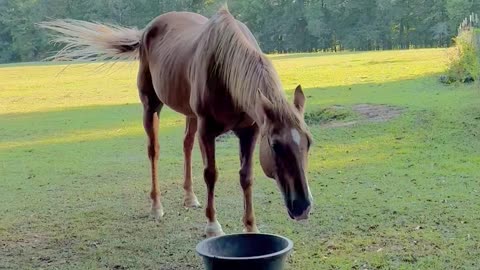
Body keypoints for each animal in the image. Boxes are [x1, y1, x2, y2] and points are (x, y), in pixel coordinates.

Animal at [39, 6, 314, 237]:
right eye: (275, 145)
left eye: (309, 143)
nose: (302, 207)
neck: (225, 69)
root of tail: (145, 31)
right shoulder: (207, 129)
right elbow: (211, 174)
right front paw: (213, 226)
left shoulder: (250, 130)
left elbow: (246, 176)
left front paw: (251, 228)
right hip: (151, 105)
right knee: (154, 151)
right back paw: (156, 206)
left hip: (189, 114)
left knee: (186, 146)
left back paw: (190, 197)